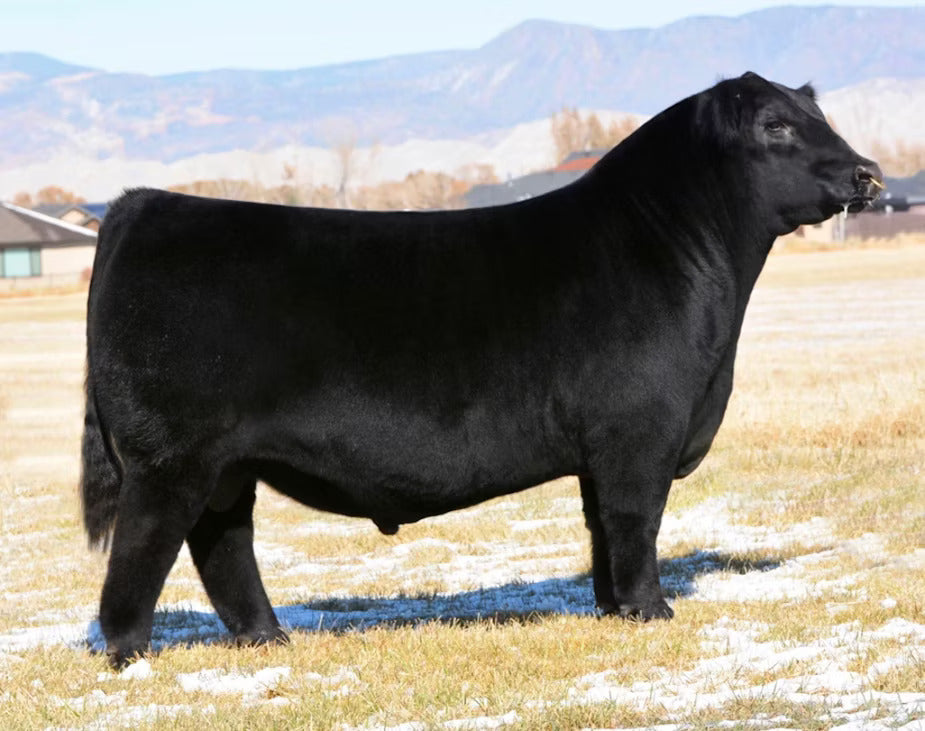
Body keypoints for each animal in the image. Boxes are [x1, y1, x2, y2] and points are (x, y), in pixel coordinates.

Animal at [81, 72, 882, 667]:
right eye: (775, 126)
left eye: (819, 114)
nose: (866, 173)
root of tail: (141, 206)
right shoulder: (638, 434)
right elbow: (635, 521)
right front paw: (651, 610)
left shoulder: (602, 449)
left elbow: (600, 526)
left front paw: (611, 609)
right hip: (169, 459)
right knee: (142, 549)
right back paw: (129, 655)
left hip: (225, 466)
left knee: (223, 545)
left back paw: (267, 637)